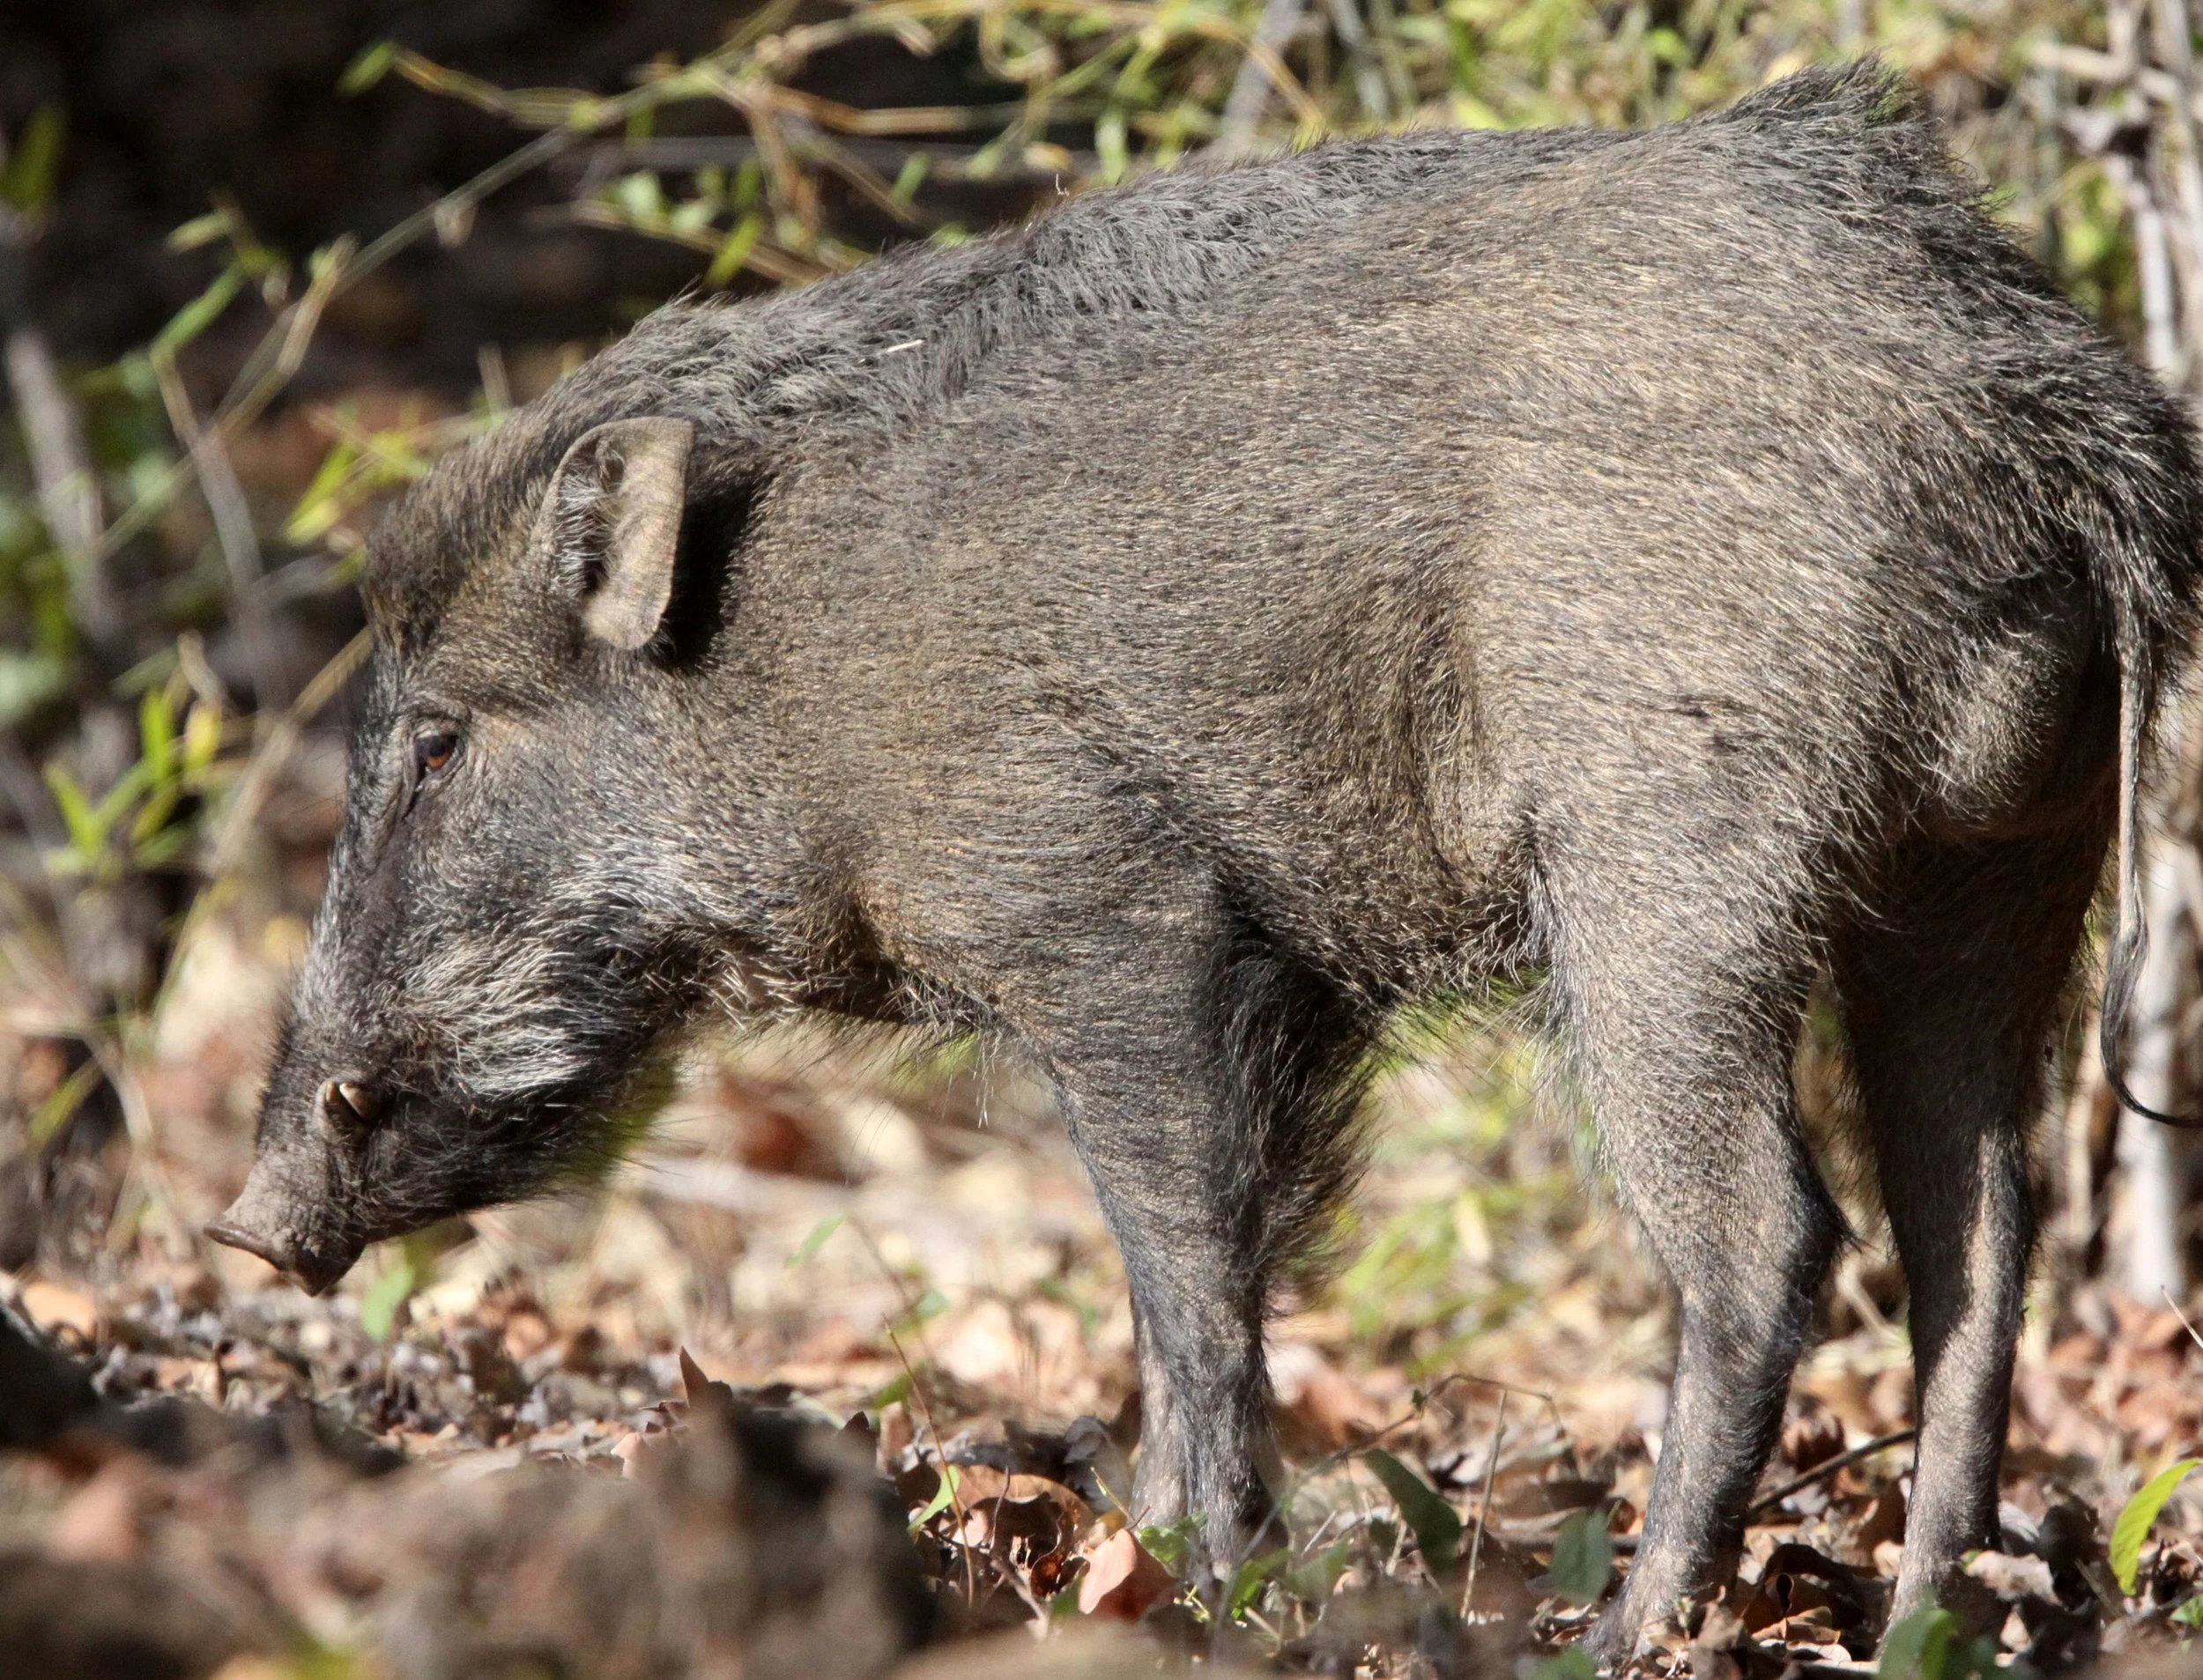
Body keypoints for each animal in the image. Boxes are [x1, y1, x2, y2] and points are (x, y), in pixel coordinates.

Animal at [210, 63, 2203, 1659]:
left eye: (443, 739)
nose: (244, 1220)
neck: (782, 663)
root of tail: (2043, 412)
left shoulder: (1121, 919)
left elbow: (1188, 1262)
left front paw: (1198, 1576)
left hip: (1671, 869)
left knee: (1771, 1232)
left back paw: (1629, 1622)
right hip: (1991, 865)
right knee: (1981, 1234)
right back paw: (1926, 1616)